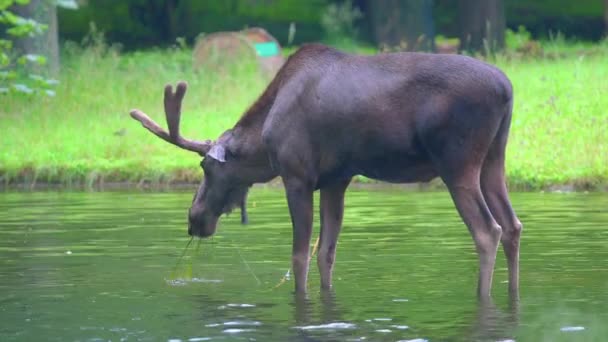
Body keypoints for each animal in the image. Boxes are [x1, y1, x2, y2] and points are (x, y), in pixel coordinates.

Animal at [131, 44, 520, 298]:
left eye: (205, 165)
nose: (194, 218)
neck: (264, 145)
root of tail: (508, 89)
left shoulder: (297, 175)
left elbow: (300, 256)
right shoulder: (337, 179)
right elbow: (326, 253)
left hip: (457, 161)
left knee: (488, 231)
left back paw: (482, 296)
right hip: (494, 158)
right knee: (513, 225)